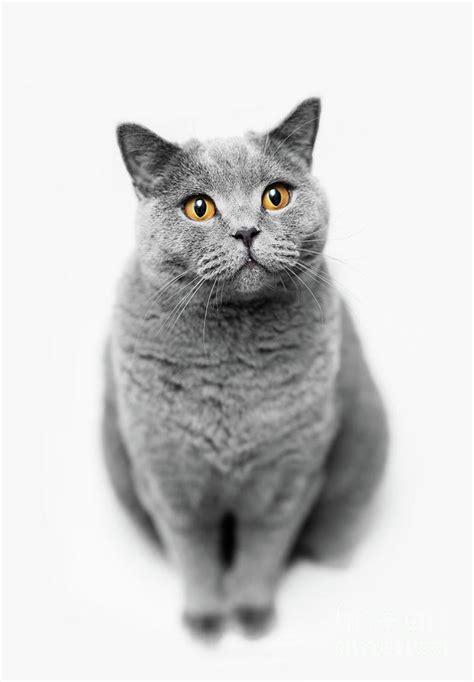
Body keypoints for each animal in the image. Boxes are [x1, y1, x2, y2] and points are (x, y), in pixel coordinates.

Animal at [103, 98, 388, 636]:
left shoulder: (288, 478)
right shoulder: (167, 478)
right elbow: (194, 554)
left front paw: (253, 613)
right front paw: (204, 619)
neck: (231, 368)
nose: (246, 231)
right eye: (199, 207)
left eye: (275, 197)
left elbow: (263, 550)